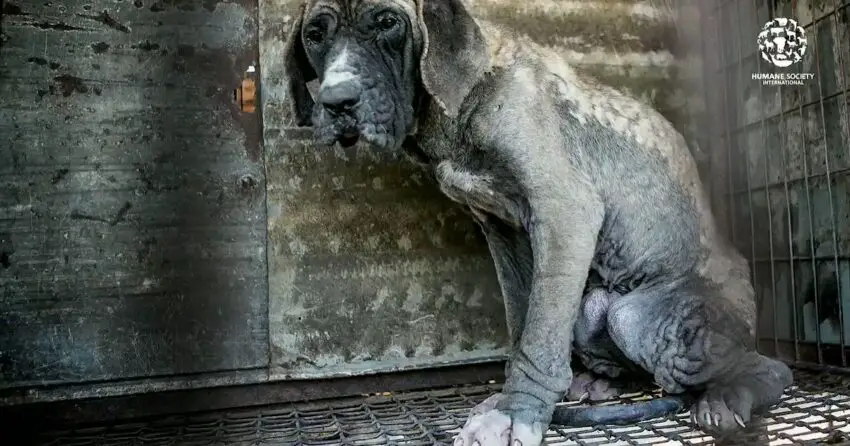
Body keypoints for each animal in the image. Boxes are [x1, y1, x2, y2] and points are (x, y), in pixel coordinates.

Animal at [282, 0, 792, 442]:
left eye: (388, 22)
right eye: (315, 35)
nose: (337, 101)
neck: (464, 95)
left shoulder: (565, 212)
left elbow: (539, 336)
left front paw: (516, 414)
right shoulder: (503, 231)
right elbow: (523, 319)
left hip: (635, 316)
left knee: (768, 367)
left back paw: (725, 399)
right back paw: (603, 383)